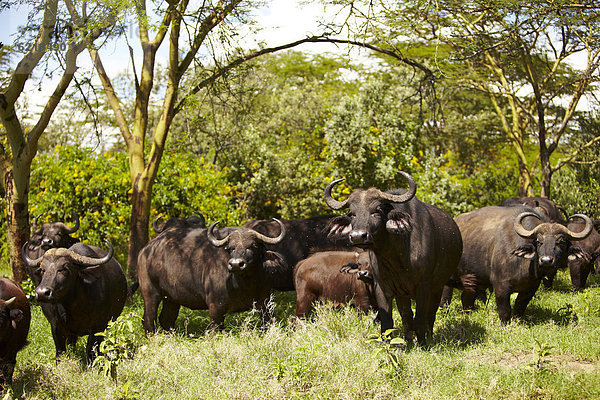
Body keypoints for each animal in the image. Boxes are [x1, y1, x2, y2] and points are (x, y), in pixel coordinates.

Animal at [138, 219, 286, 332]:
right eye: (230, 247)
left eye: (253, 245)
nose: (236, 264)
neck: (244, 284)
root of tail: (146, 250)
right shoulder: (216, 307)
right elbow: (215, 330)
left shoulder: (265, 304)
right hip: (150, 293)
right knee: (149, 319)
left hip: (172, 298)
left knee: (166, 319)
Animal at [326, 172, 462, 344]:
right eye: (352, 214)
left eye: (376, 210)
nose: (357, 236)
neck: (396, 259)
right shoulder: (382, 287)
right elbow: (387, 323)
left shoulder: (424, 287)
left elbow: (420, 319)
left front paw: (423, 344)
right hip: (403, 294)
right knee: (406, 316)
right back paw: (408, 341)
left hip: (438, 286)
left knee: (430, 314)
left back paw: (429, 337)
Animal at [448, 206, 592, 322]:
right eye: (539, 241)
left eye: (561, 242)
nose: (546, 260)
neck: (524, 264)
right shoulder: (500, 286)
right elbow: (505, 310)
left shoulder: (531, 287)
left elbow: (520, 306)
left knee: (466, 298)